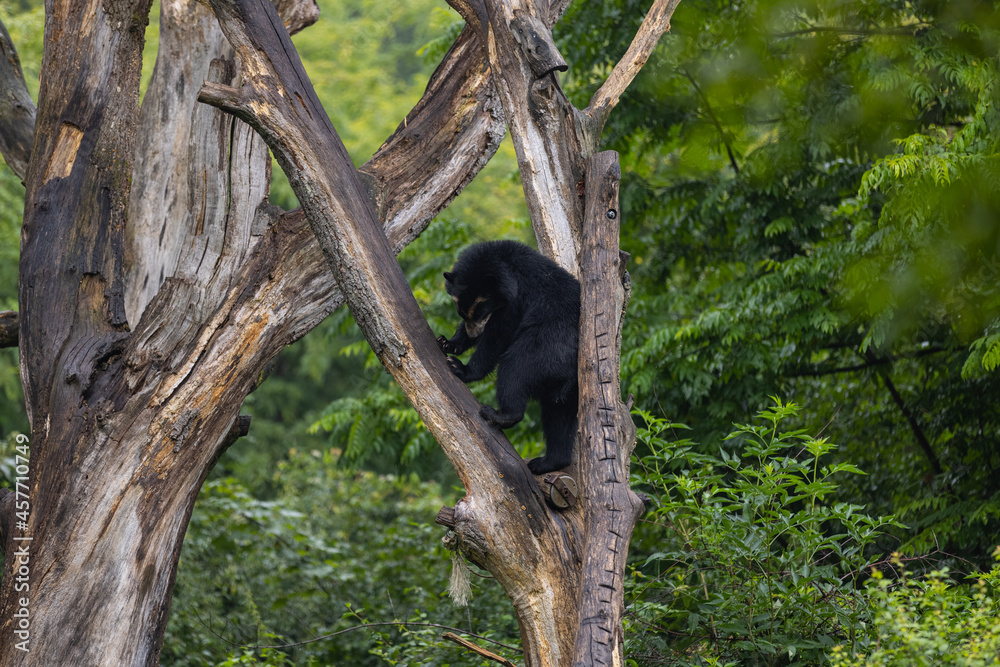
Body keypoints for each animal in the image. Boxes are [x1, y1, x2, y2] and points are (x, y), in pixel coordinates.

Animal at [437, 240, 580, 474]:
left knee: (514, 370)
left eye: (480, 312)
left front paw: (460, 367)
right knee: (559, 416)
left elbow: (497, 336)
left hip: (545, 349)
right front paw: (448, 343)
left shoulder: (517, 301)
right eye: (461, 312)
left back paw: (498, 415)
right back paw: (546, 463)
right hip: (568, 388)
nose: (473, 334)